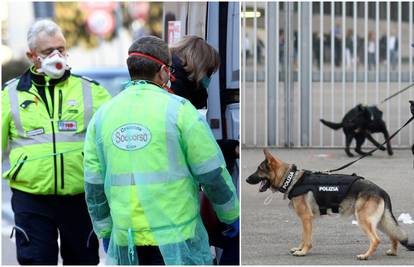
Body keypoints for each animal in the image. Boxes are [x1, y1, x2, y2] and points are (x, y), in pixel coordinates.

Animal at [246, 150, 414, 260]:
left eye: (259, 169)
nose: (246, 179)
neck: (291, 178)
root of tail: (381, 190)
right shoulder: (305, 220)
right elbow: (303, 236)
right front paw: (300, 248)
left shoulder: (306, 218)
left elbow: (306, 238)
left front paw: (303, 252)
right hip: (379, 221)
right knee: (394, 235)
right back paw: (392, 252)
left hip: (364, 220)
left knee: (376, 239)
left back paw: (365, 256)